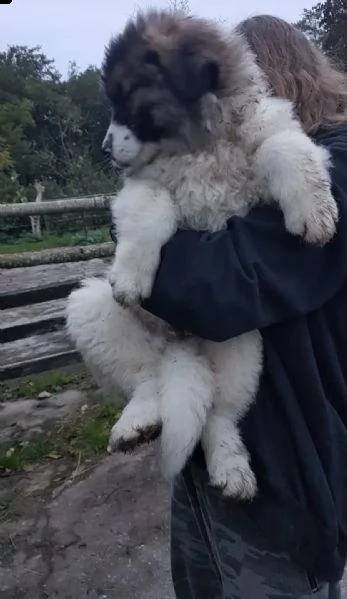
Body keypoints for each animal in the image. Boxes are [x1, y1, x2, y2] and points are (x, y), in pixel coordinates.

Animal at [66, 9, 338, 500]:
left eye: (128, 99)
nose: (104, 148)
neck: (200, 144)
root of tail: (180, 345)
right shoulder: (144, 184)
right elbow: (150, 209)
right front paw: (131, 276)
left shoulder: (267, 139)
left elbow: (286, 147)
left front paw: (315, 214)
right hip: (90, 311)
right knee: (143, 378)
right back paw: (136, 422)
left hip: (243, 348)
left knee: (219, 415)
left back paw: (231, 467)